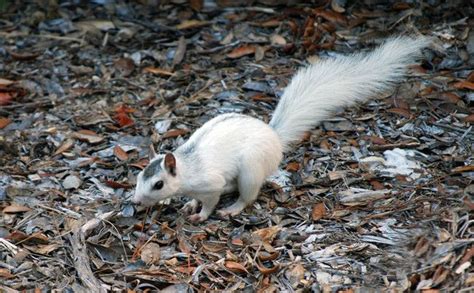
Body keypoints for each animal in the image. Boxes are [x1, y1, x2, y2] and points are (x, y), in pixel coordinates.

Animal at [131, 36, 432, 221]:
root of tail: (274, 137)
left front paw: (200, 214)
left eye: (158, 184)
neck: (187, 168)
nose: (136, 202)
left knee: (247, 195)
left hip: (251, 168)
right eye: (138, 178)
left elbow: (210, 201)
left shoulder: (209, 183)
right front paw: (188, 204)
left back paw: (233, 209)